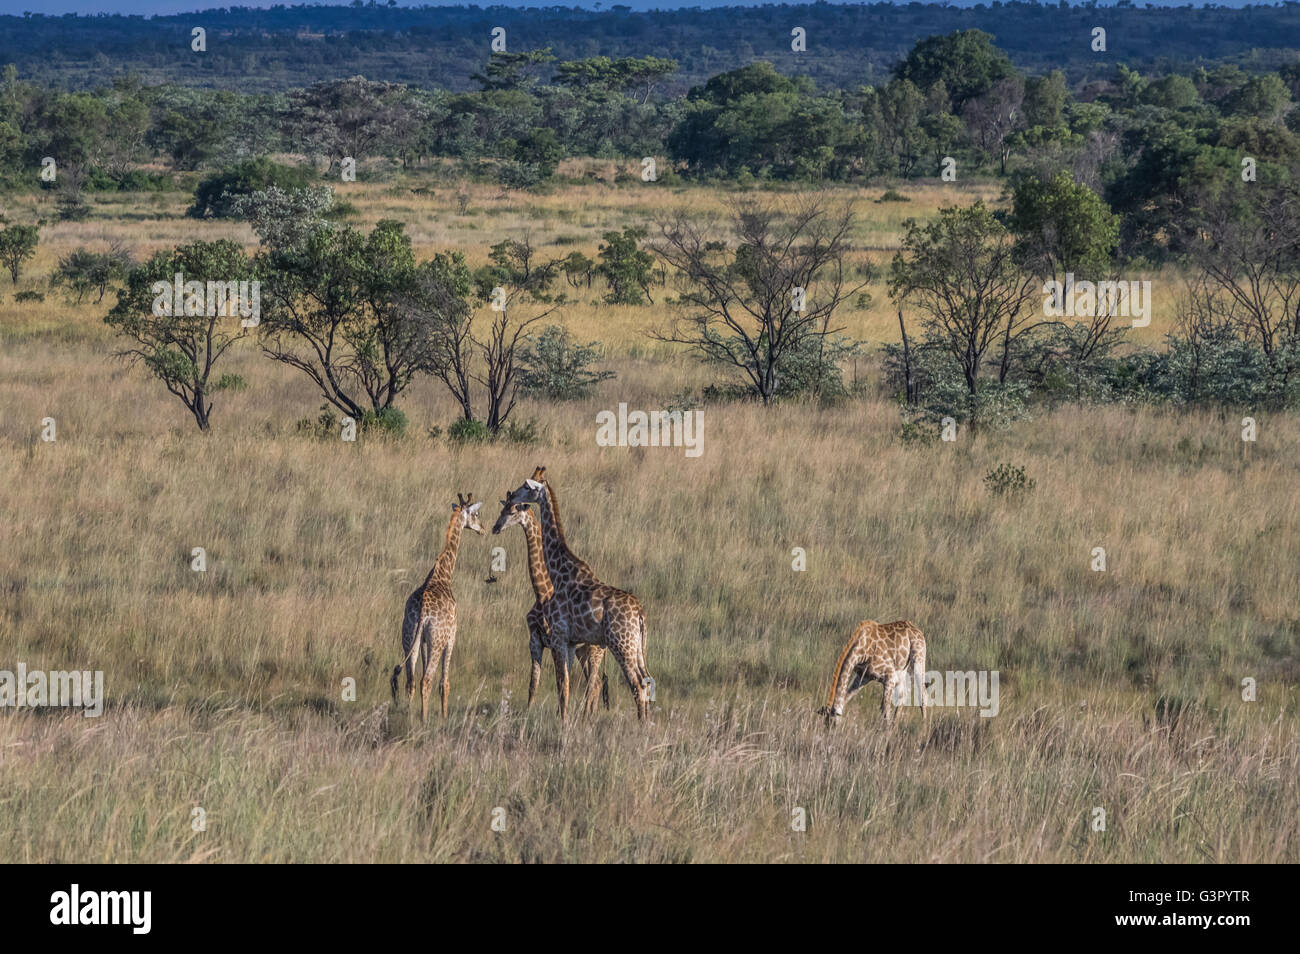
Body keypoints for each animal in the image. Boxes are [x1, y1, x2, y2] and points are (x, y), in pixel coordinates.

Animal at [392, 493, 486, 722]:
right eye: (476, 514)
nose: (483, 529)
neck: (443, 574)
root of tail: (422, 613)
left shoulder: (424, 640)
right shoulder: (452, 635)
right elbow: (445, 682)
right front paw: (444, 717)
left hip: (409, 636)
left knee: (411, 680)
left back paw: (409, 714)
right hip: (438, 640)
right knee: (426, 679)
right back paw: (425, 720)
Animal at [491, 496, 608, 712]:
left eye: (512, 512)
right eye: (502, 509)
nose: (495, 527)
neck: (541, 593)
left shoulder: (555, 642)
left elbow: (559, 682)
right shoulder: (535, 640)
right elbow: (533, 684)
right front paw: (529, 712)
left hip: (595, 651)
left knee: (593, 684)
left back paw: (587, 714)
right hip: (583, 651)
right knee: (594, 683)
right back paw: (588, 714)